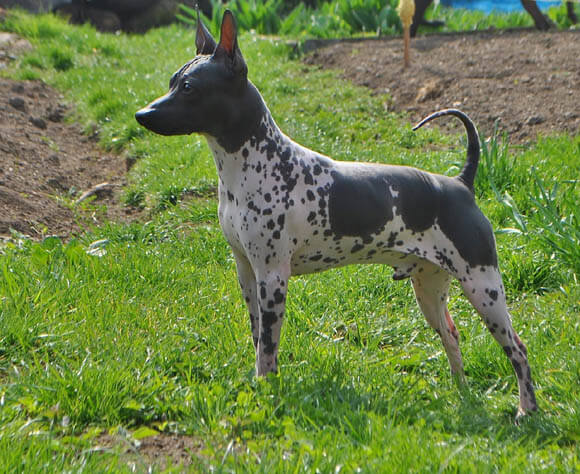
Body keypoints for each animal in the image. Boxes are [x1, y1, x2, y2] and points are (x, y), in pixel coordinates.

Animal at [136, 10, 540, 418]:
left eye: (189, 87)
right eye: (172, 81)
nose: (141, 114)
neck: (258, 163)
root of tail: (461, 182)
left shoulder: (273, 277)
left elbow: (267, 348)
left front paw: (266, 390)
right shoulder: (247, 273)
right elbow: (257, 338)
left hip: (483, 287)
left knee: (518, 348)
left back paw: (526, 410)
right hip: (429, 289)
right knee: (452, 334)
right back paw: (461, 394)